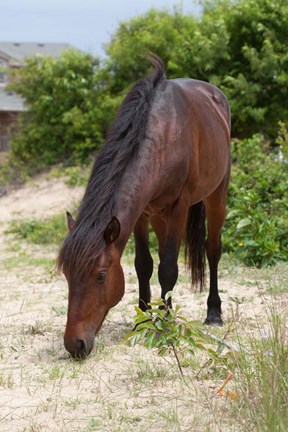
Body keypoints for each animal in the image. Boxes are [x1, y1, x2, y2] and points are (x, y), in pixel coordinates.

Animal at [57, 56, 231, 358]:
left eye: (101, 275)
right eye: (67, 275)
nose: (74, 344)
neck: (164, 135)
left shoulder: (178, 208)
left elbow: (168, 268)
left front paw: (165, 325)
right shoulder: (140, 214)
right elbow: (144, 265)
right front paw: (143, 320)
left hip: (216, 195)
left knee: (212, 250)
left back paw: (213, 312)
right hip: (158, 216)